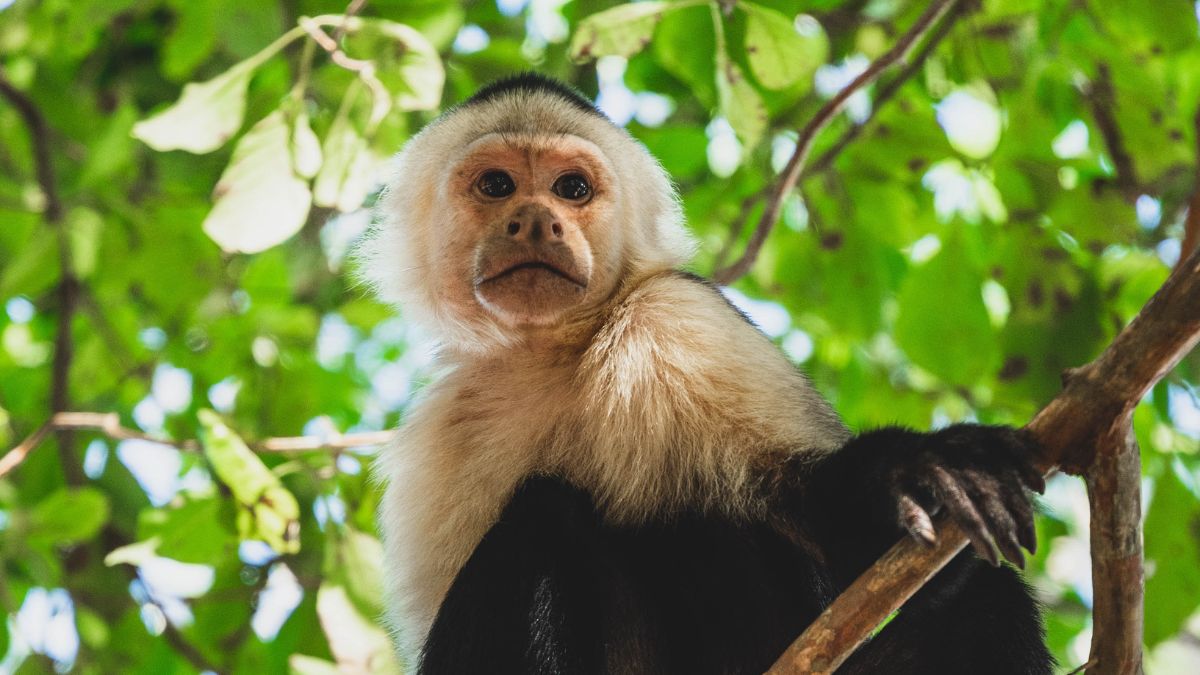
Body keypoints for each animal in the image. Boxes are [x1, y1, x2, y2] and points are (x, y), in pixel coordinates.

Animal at [360, 73, 1053, 674]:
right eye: (498, 184)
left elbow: (848, 542)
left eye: (572, 189)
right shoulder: (444, 429)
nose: (534, 219)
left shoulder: (679, 316)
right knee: (547, 512)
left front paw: (908, 478)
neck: (550, 352)